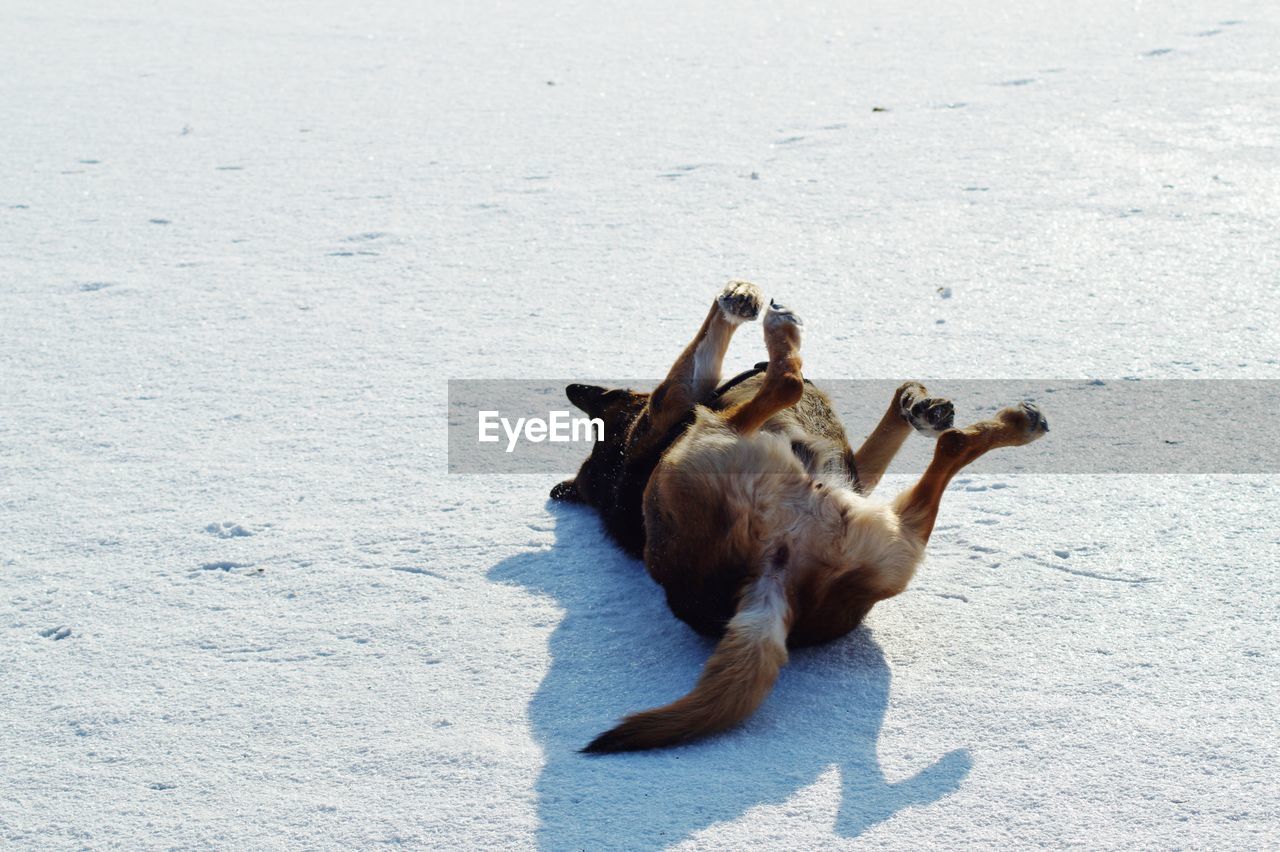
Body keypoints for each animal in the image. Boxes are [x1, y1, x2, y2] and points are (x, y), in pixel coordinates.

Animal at [550, 280, 1049, 752]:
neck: (620, 462)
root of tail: (770, 570)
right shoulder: (676, 398)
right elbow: (708, 347)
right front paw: (738, 297)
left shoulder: (854, 475)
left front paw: (918, 403)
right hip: (710, 439)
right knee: (791, 383)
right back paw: (781, 333)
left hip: (890, 538)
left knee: (946, 450)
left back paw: (1009, 427)